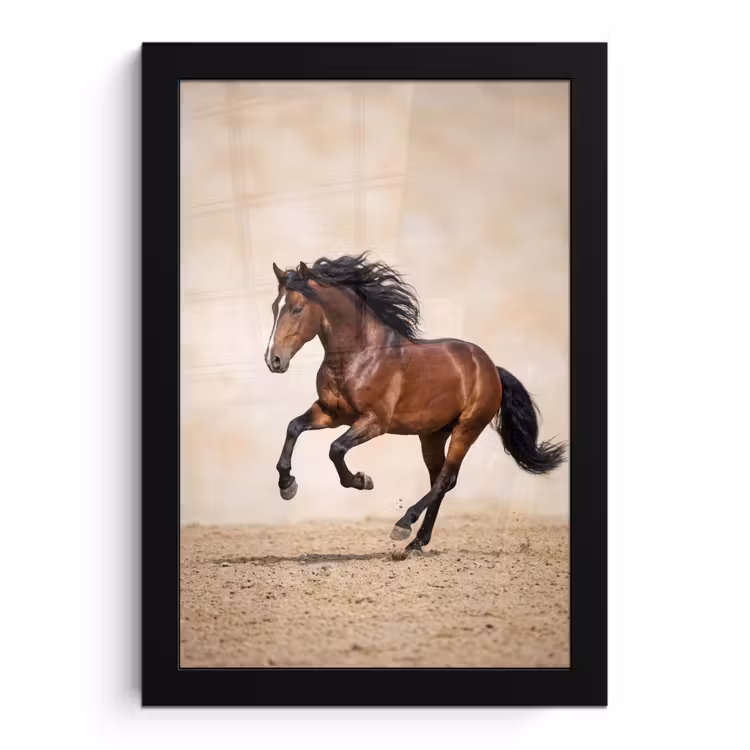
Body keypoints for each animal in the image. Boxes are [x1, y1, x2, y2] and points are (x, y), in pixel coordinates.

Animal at [264, 253, 567, 552]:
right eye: (274, 307)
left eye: (297, 309)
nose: (273, 360)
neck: (359, 356)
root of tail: (492, 368)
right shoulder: (331, 413)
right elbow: (293, 427)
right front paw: (287, 485)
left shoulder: (374, 422)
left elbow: (336, 449)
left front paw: (362, 481)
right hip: (432, 435)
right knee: (442, 480)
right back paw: (418, 542)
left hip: (467, 428)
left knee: (444, 480)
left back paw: (403, 526)